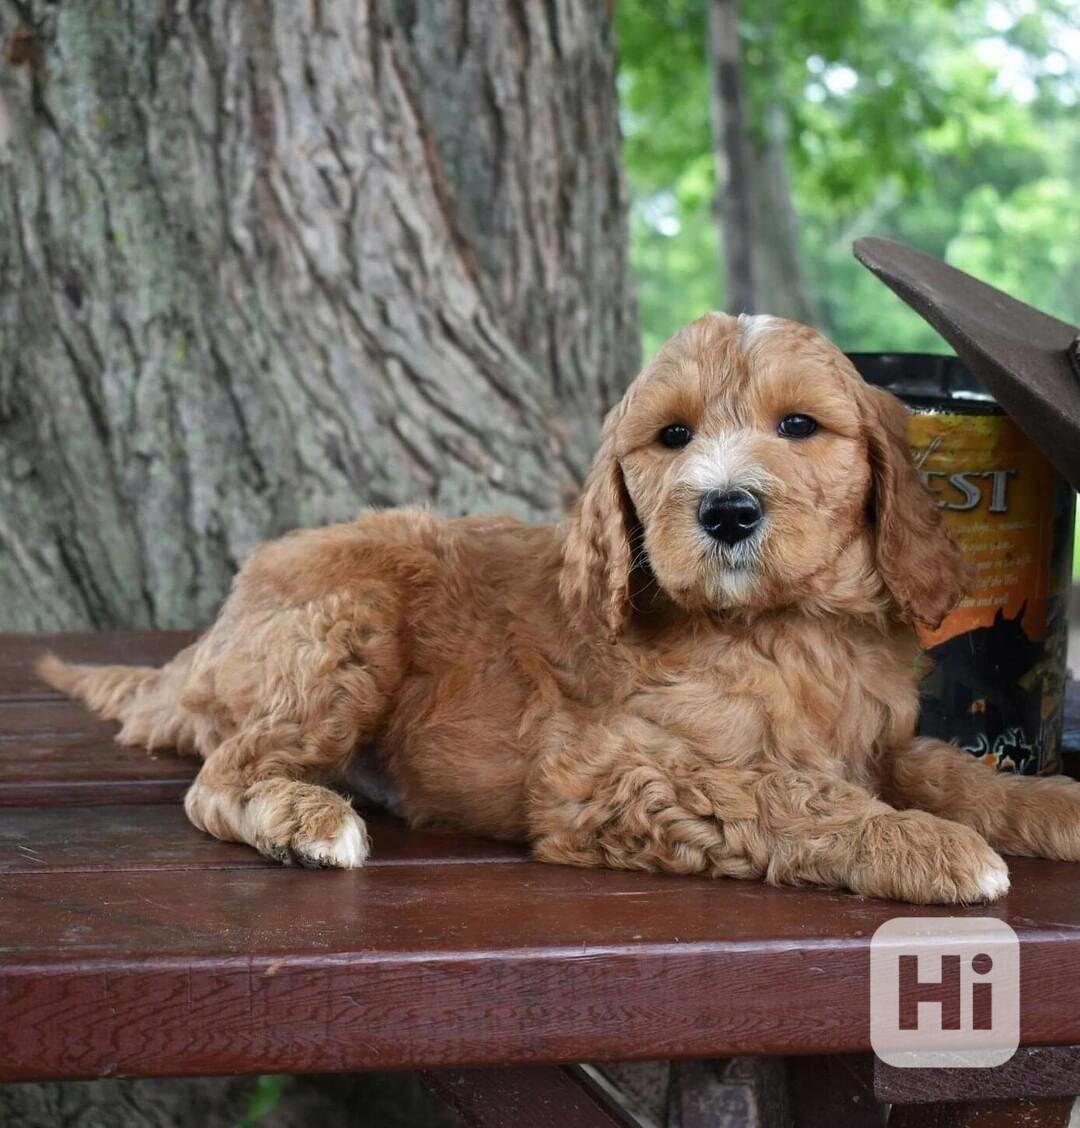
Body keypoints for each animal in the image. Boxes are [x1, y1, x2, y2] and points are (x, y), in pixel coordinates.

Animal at [33, 313, 1078, 902]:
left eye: (798, 425)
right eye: (673, 436)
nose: (727, 509)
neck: (782, 626)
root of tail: (214, 629)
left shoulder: (878, 738)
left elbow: (951, 768)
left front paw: (1047, 805)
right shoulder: (605, 770)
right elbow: (782, 790)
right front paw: (923, 843)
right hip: (346, 625)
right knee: (221, 777)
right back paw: (310, 820)